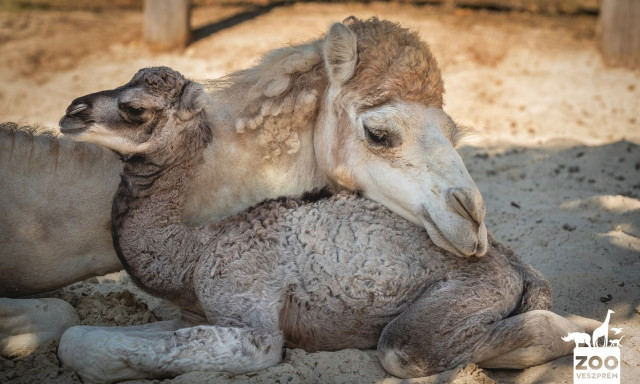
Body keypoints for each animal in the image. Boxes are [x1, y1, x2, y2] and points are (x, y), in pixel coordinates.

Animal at [57, 67, 584, 382]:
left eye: (134, 108)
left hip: (466, 293)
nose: (71, 111)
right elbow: (81, 338)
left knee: (409, 347)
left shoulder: (249, 313)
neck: (195, 252)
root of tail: (510, 263)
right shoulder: (192, 314)